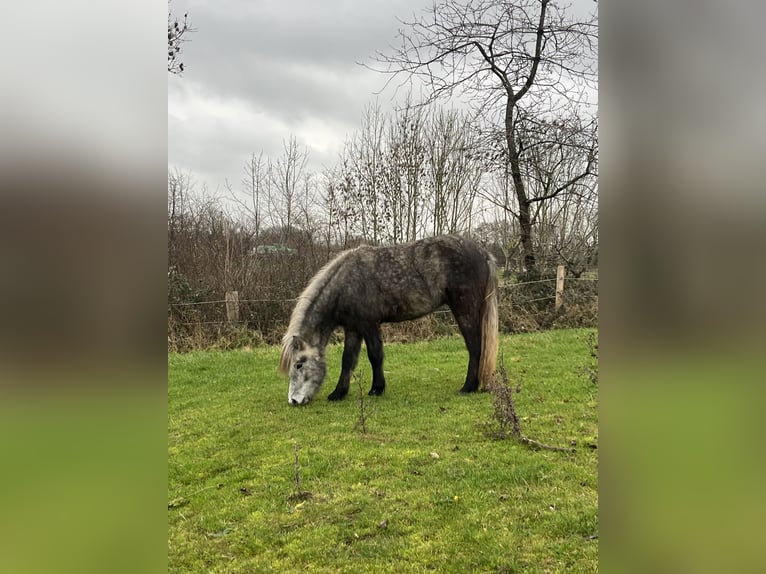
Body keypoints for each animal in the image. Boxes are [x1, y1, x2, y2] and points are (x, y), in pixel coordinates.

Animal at [279, 235, 498, 405]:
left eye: (298, 364)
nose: (294, 401)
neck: (346, 282)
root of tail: (482, 252)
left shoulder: (369, 324)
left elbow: (375, 355)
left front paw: (377, 388)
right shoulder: (353, 328)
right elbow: (347, 360)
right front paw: (338, 393)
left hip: (464, 310)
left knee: (475, 347)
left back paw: (468, 387)